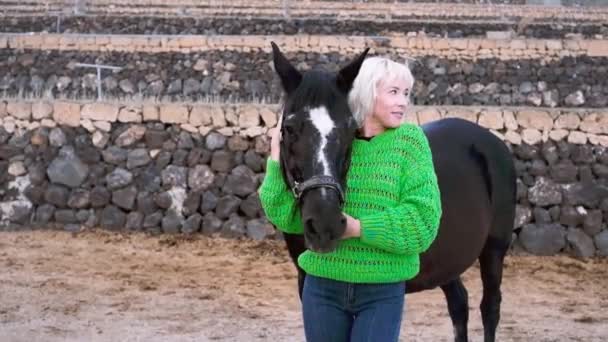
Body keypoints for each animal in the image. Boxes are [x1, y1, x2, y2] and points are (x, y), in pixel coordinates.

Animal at [268, 42, 516, 342]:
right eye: (289, 128)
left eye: (350, 128)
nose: (325, 224)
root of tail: (492, 141)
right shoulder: (306, 283)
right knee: (459, 303)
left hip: (494, 250)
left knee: (490, 307)